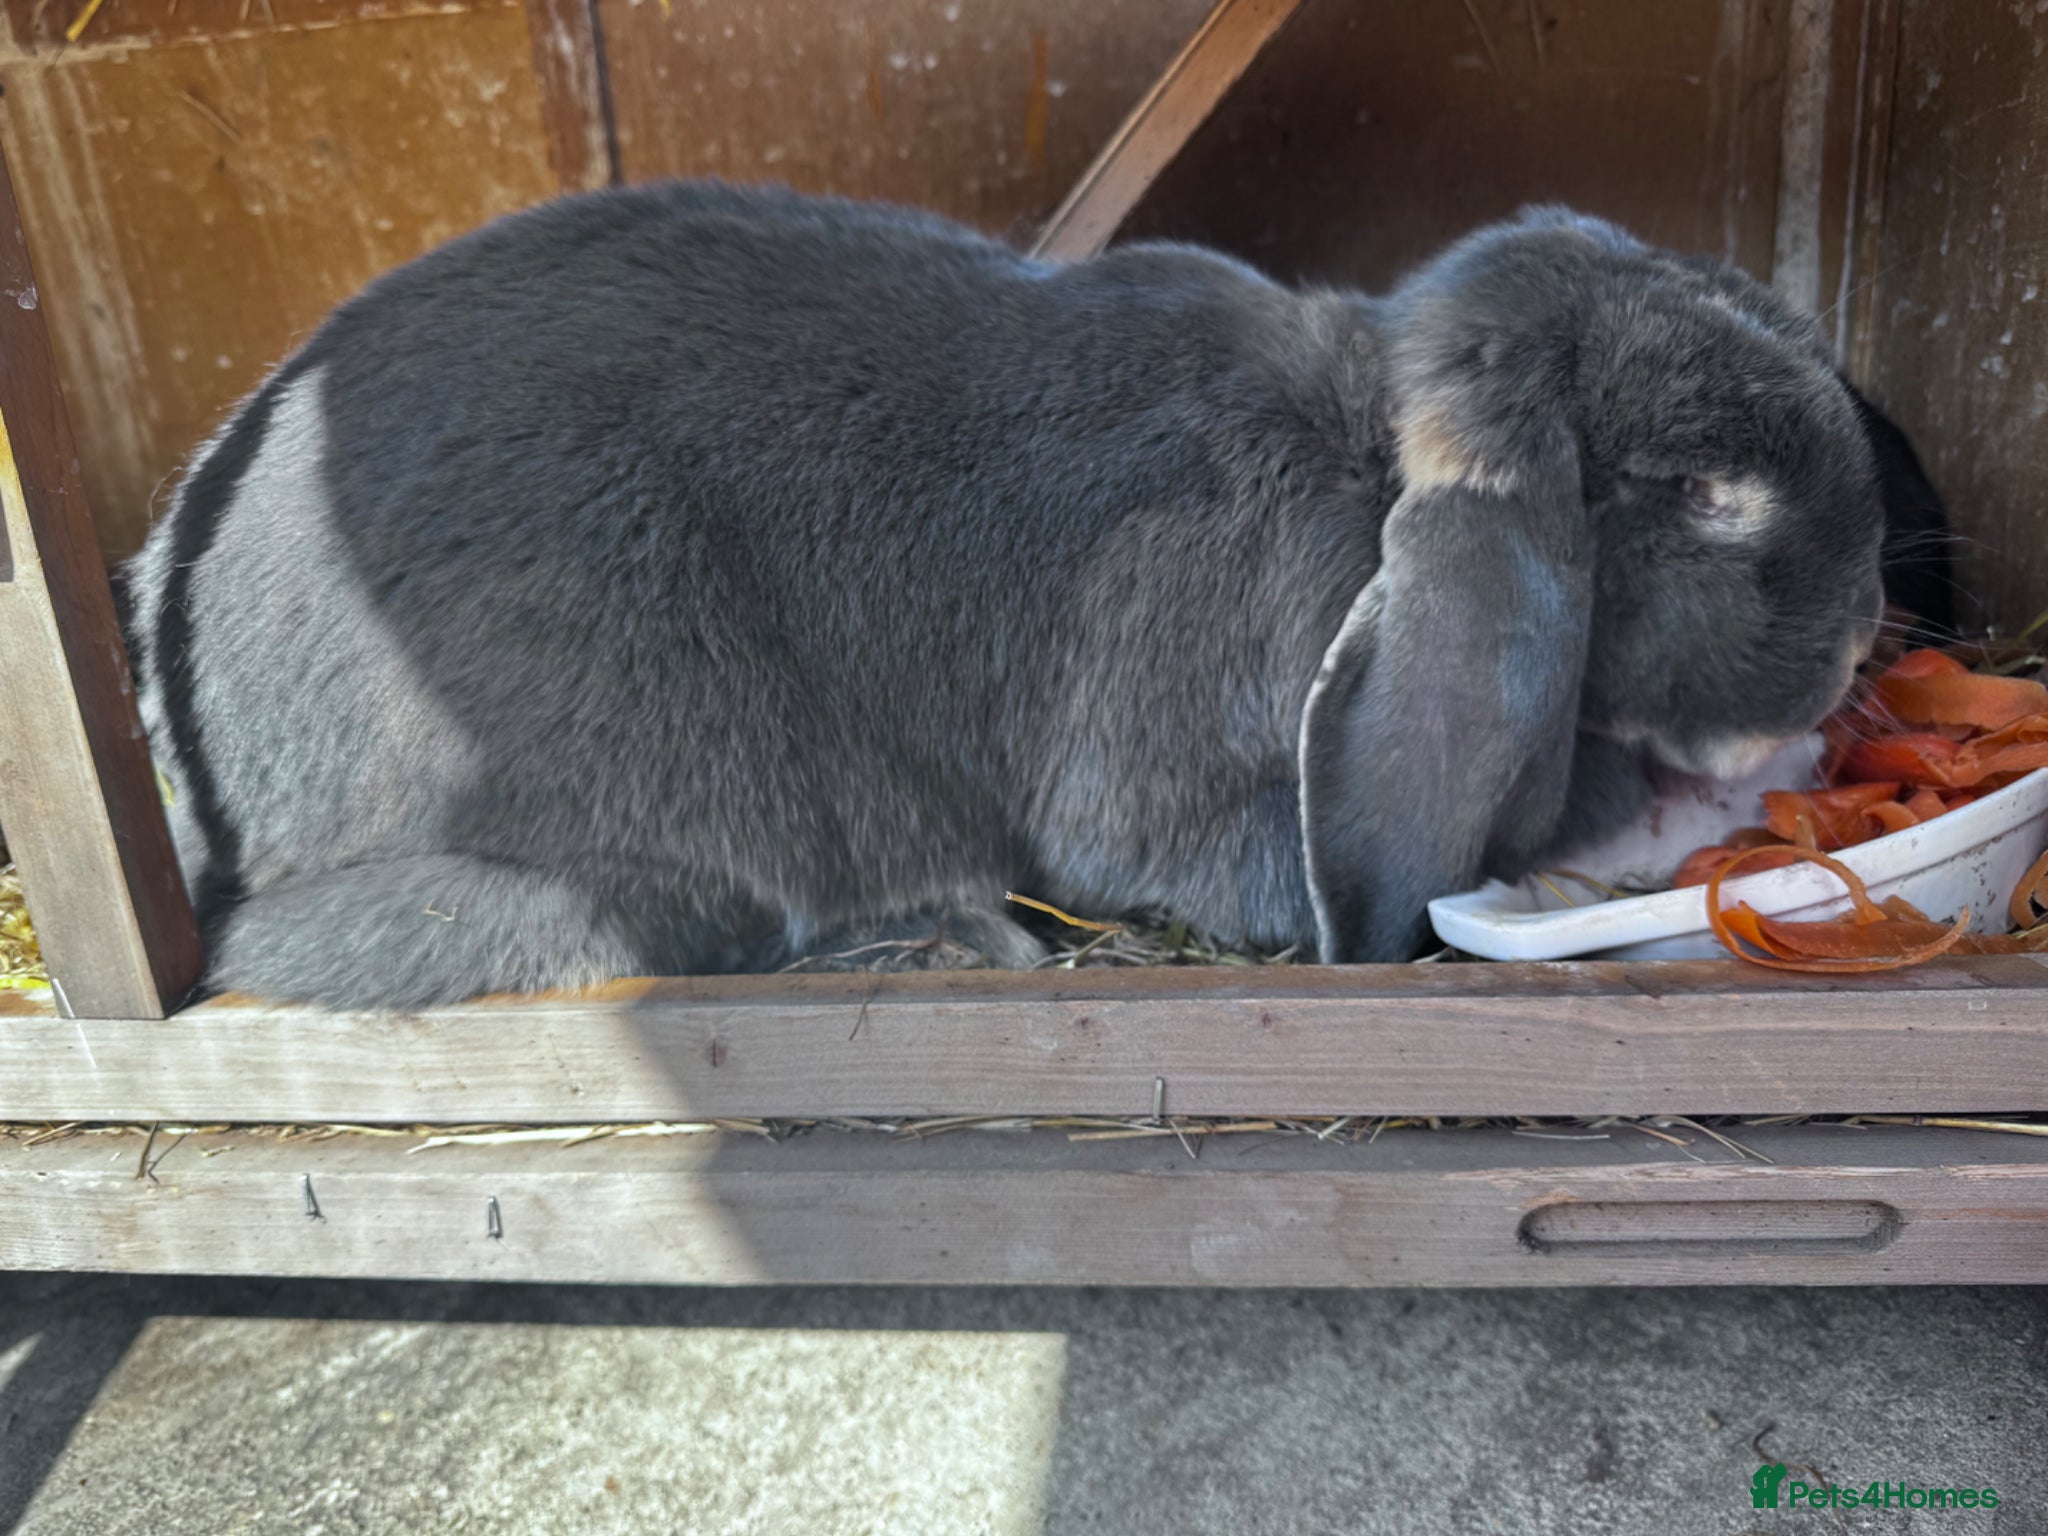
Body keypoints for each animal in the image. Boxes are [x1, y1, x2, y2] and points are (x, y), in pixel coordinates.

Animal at [123, 187, 1891, 1008]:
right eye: (1704, 495)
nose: (1867, 637)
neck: (1357, 468)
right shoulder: (1177, 807)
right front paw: (1707, 804)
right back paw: (958, 932)